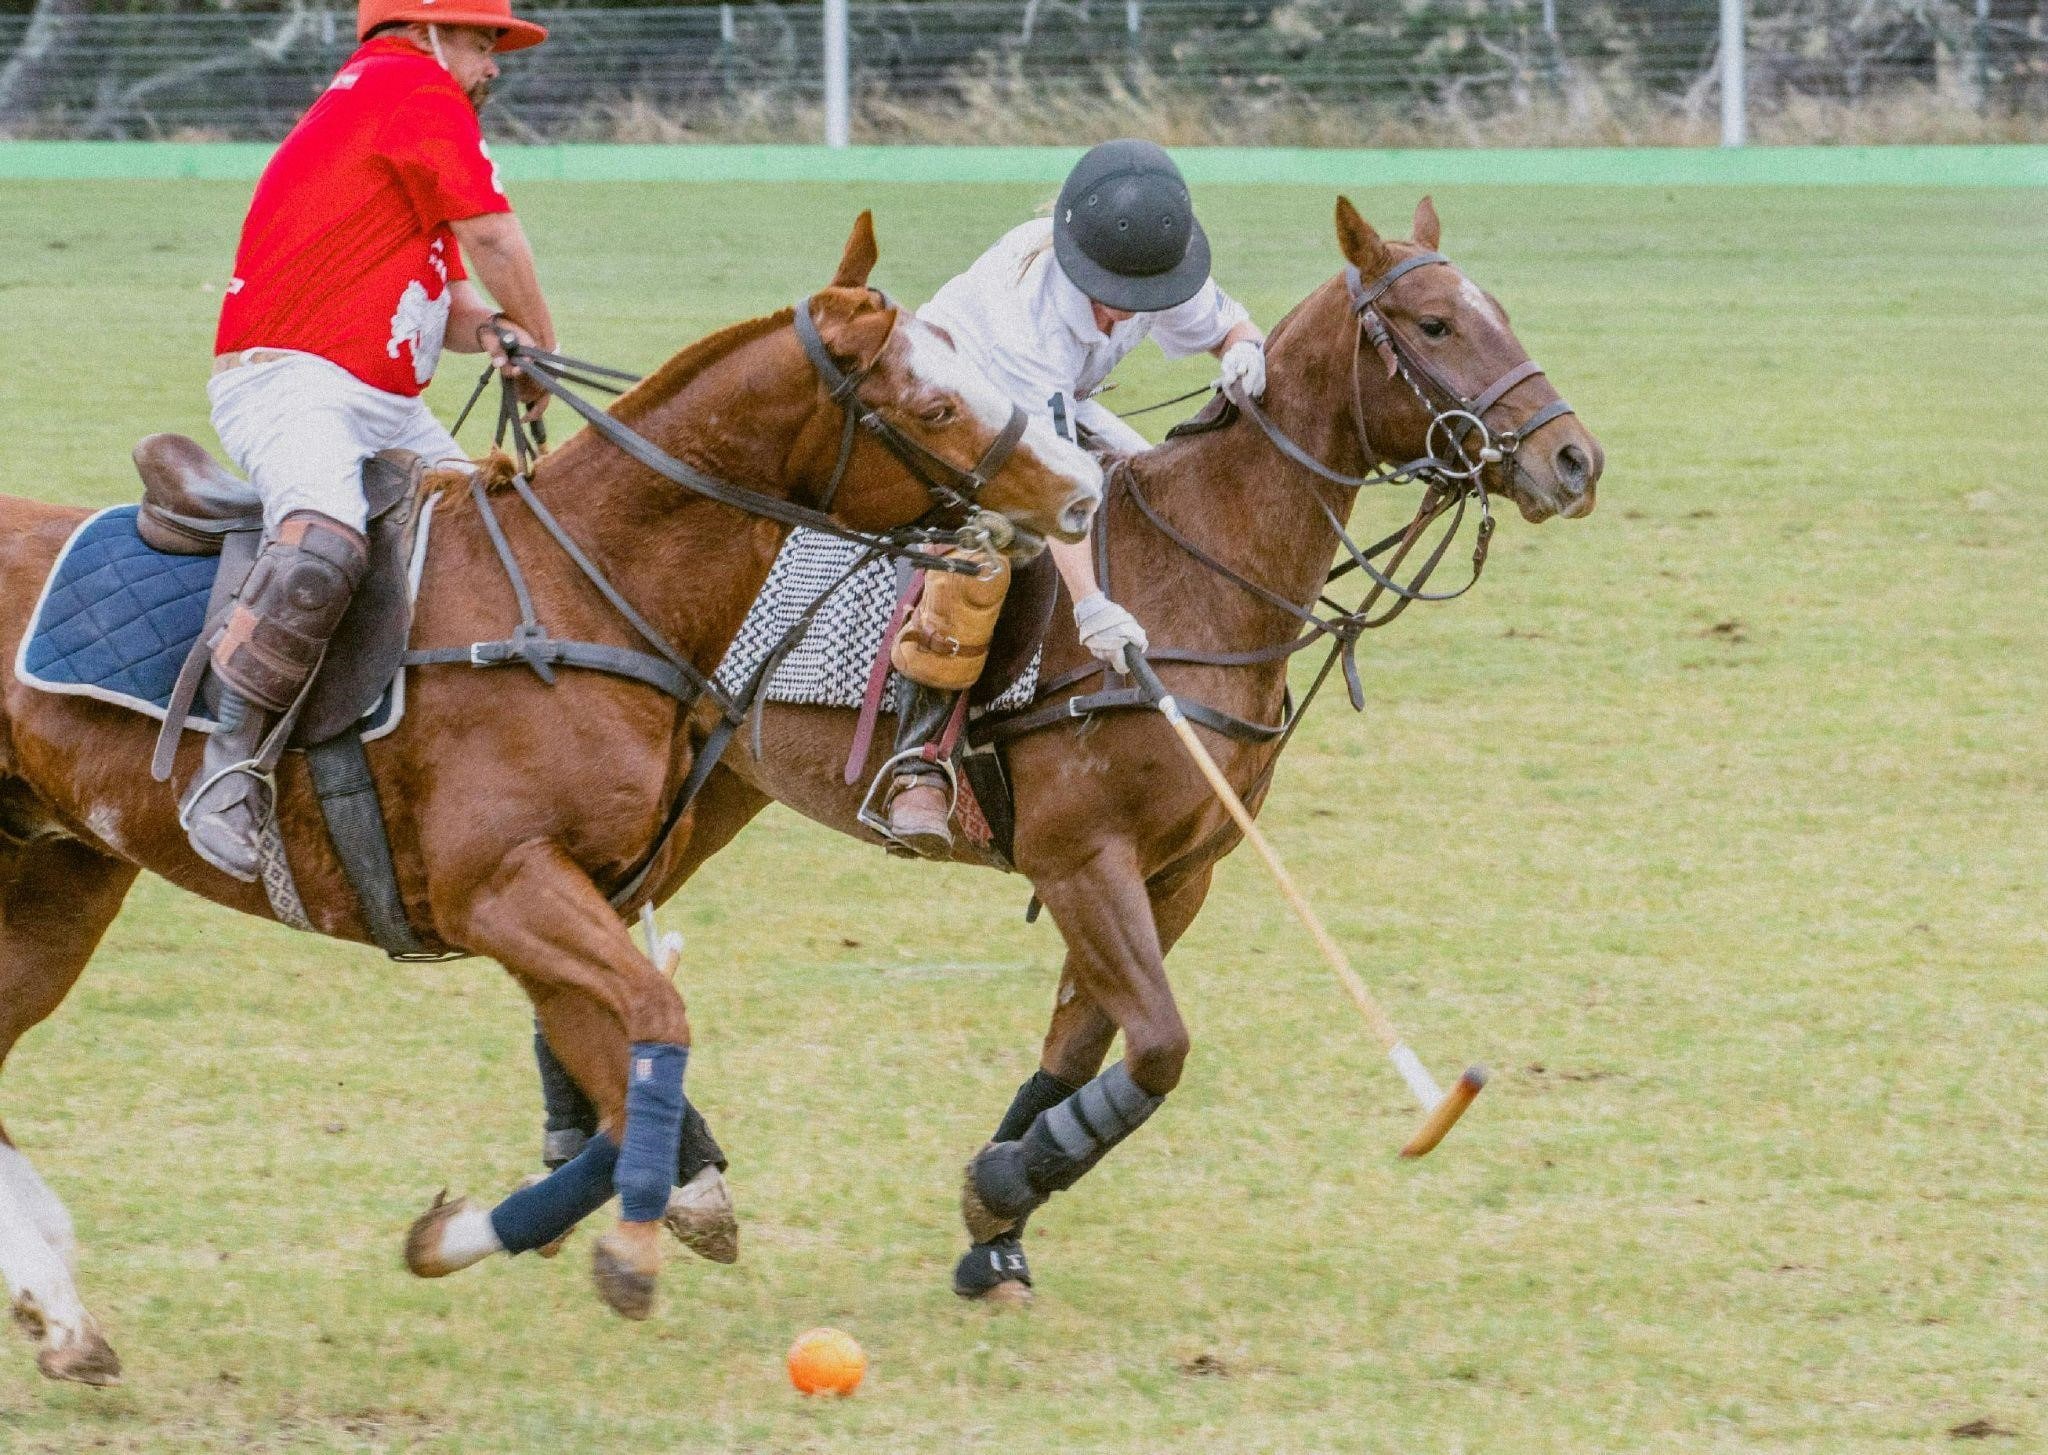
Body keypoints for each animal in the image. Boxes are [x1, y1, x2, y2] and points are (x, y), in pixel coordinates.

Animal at [0, 219, 1105, 1393]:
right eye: (934, 406)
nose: (1080, 492)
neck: (590, 589)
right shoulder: (503, 889)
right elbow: (656, 1025)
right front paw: (630, 1249)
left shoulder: (571, 901)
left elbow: (621, 1084)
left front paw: (468, 1236)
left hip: (60, 875)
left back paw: (61, 1315)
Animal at [630, 199, 1605, 1303]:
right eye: (1434, 324)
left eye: (1499, 309)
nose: (1574, 462)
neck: (1204, 570)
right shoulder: (1081, 859)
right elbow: (1159, 1046)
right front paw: (1002, 1185)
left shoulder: (1178, 872)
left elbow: (1079, 1051)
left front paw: (995, 1228)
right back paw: (673, 1174)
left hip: (716, 792)